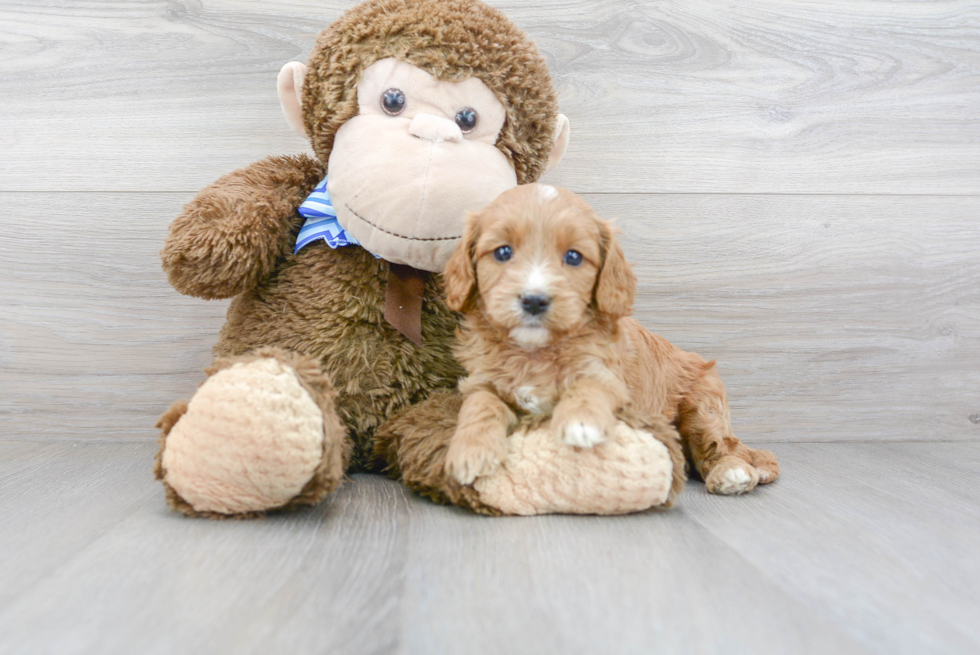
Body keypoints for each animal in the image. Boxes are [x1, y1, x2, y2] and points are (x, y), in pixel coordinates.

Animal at [440, 182, 776, 494]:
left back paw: (731, 472)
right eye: (503, 252)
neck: (533, 351)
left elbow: (590, 385)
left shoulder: (609, 376)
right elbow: (480, 403)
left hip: (704, 403)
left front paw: (581, 423)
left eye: (574, 257)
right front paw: (470, 450)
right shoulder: (481, 380)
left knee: (720, 445)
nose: (534, 301)